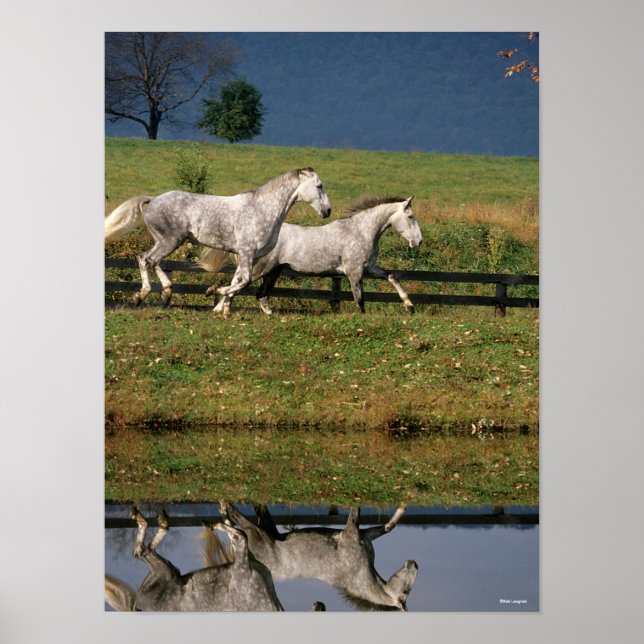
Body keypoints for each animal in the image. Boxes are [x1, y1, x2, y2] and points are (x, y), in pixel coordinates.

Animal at [104, 168, 331, 314]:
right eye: (319, 186)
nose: (328, 211)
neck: (263, 210)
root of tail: (152, 200)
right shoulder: (247, 251)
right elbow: (244, 280)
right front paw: (213, 292)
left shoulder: (247, 255)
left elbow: (238, 281)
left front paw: (224, 309)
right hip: (169, 240)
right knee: (145, 259)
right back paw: (141, 295)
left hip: (167, 241)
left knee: (152, 261)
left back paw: (166, 293)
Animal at [199, 195, 422, 314]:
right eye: (410, 217)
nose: (418, 242)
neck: (361, 231)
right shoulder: (354, 271)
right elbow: (359, 298)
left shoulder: (370, 269)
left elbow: (392, 277)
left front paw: (409, 306)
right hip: (261, 269)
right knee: (240, 286)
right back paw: (217, 300)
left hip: (272, 272)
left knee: (258, 294)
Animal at [205, 503, 418, 611]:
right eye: (406, 590)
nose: (415, 564)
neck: (359, 575)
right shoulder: (358, 533)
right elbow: (385, 524)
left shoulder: (356, 533)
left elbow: (383, 524)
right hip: (261, 530)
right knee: (242, 516)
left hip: (260, 531)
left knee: (239, 522)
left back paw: (218, 515)